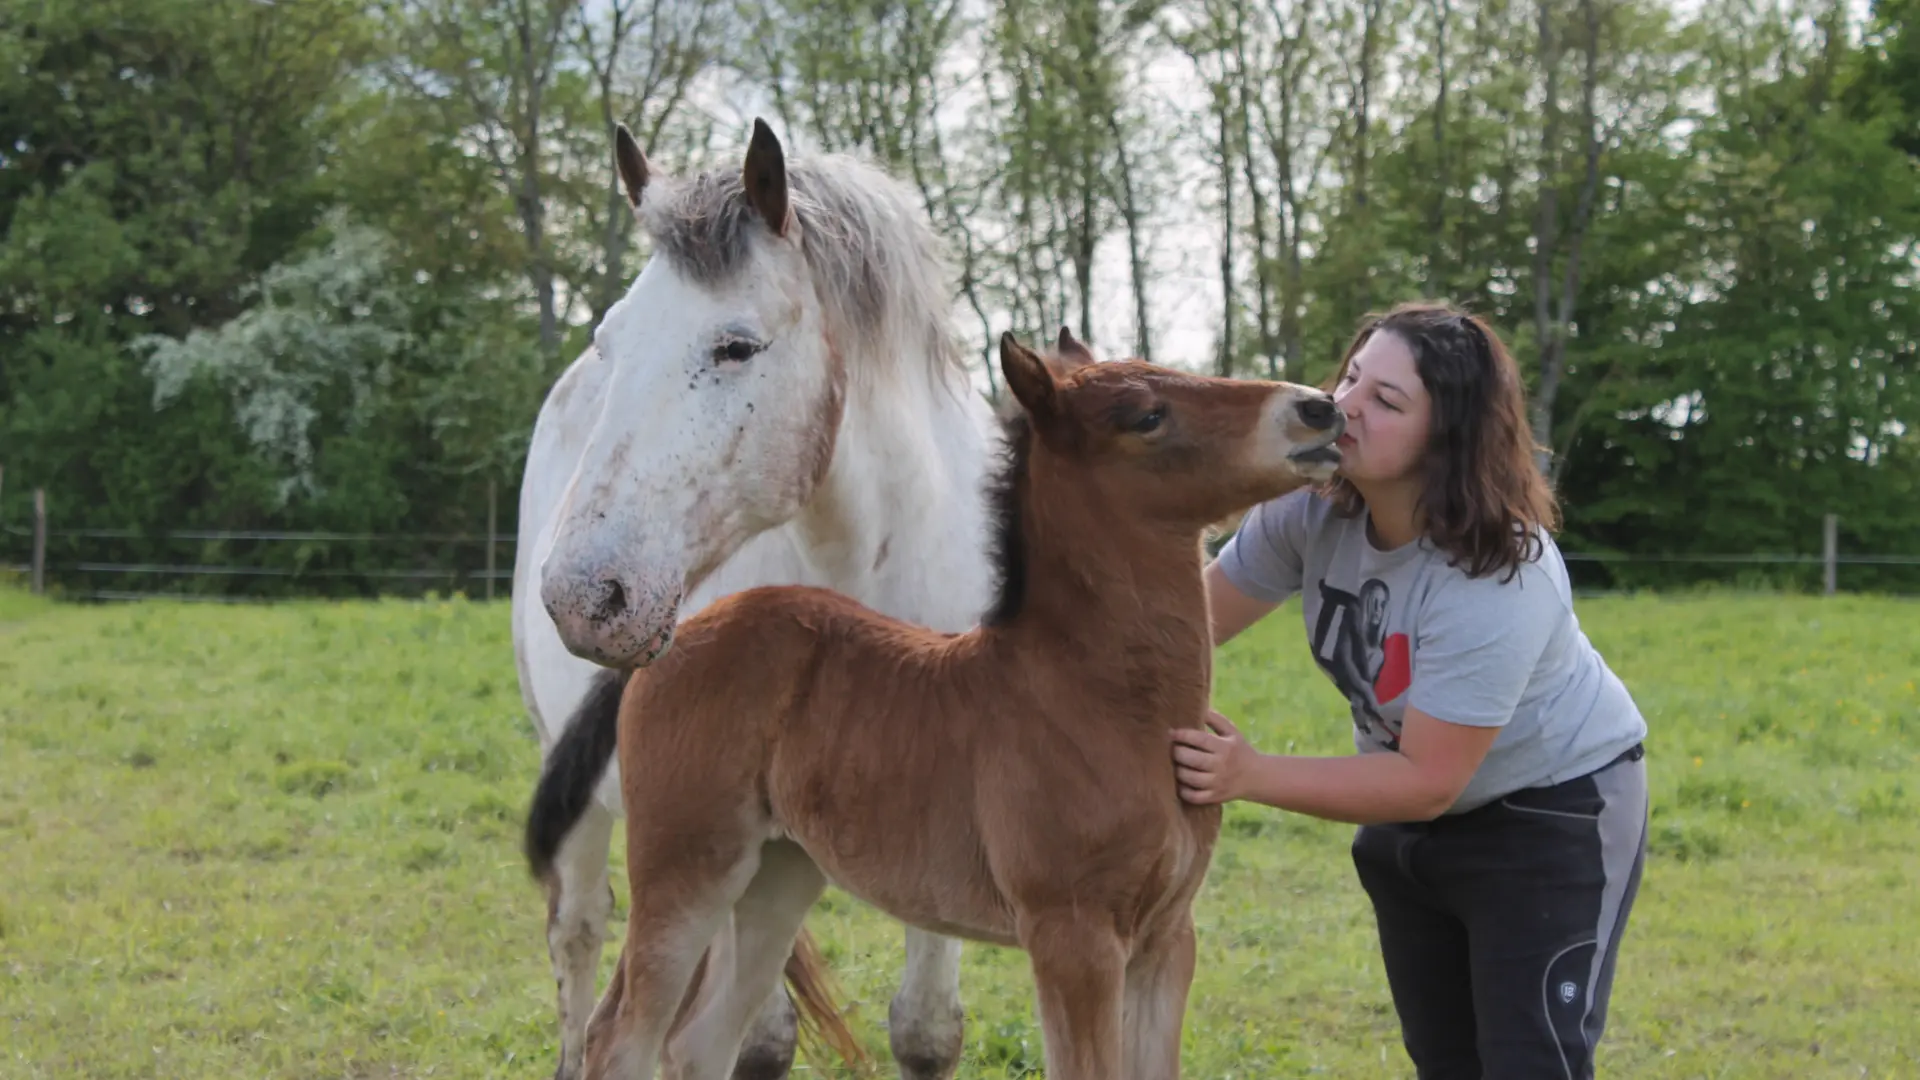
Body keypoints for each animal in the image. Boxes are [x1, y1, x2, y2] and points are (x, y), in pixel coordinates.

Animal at [518, 117, 1013, 1076]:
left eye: (737, 347)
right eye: (609, 343)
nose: (581, 597)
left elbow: (927, 1031)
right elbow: (753, 1042)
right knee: (578, 935)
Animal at [533, 332, 1344, 1068]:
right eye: (1147, 415)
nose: (1318, 408)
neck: (1105, 702)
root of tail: (668, 642)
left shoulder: (1167, 940)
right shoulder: (1073, 937)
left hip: (777, 874)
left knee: (701, 1040)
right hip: (687, 866)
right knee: (622, 1035)